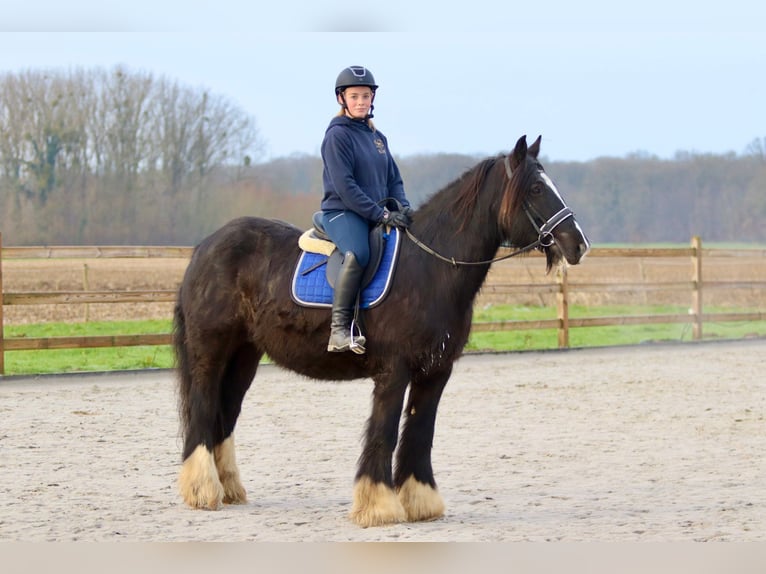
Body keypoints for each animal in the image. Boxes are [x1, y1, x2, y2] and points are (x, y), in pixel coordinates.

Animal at [176, 135, 592, 528]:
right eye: (535, 189)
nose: (578, 244)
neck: (430, 267)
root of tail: (205, 248)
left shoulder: (436, 372)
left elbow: (420, 431)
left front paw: (421, 501)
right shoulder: (394, 371)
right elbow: (386, 431)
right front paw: (377, 505)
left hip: (244, 356)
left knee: (225, 412)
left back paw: (228, 488)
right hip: (210, 352)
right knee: (203, 408)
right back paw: (202, 490)